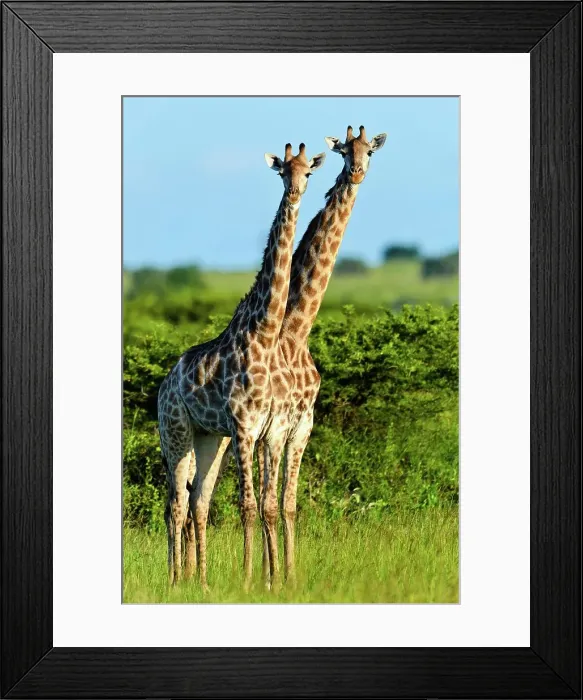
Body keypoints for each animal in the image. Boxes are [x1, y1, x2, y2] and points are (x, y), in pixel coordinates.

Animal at [157, 142, 326, 590]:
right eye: (283, 171)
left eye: (308, 171)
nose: (296, 192)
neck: (266, 336)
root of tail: (164, 386)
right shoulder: (245, 427)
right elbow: (248, 505)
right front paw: (253, 580)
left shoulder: (268, 428)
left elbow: (265, 504)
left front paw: (272, 578)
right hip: (174, 432)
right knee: (176, 503)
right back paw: (175, 580)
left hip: (207, 438)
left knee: (197, 501)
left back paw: (201, 582)